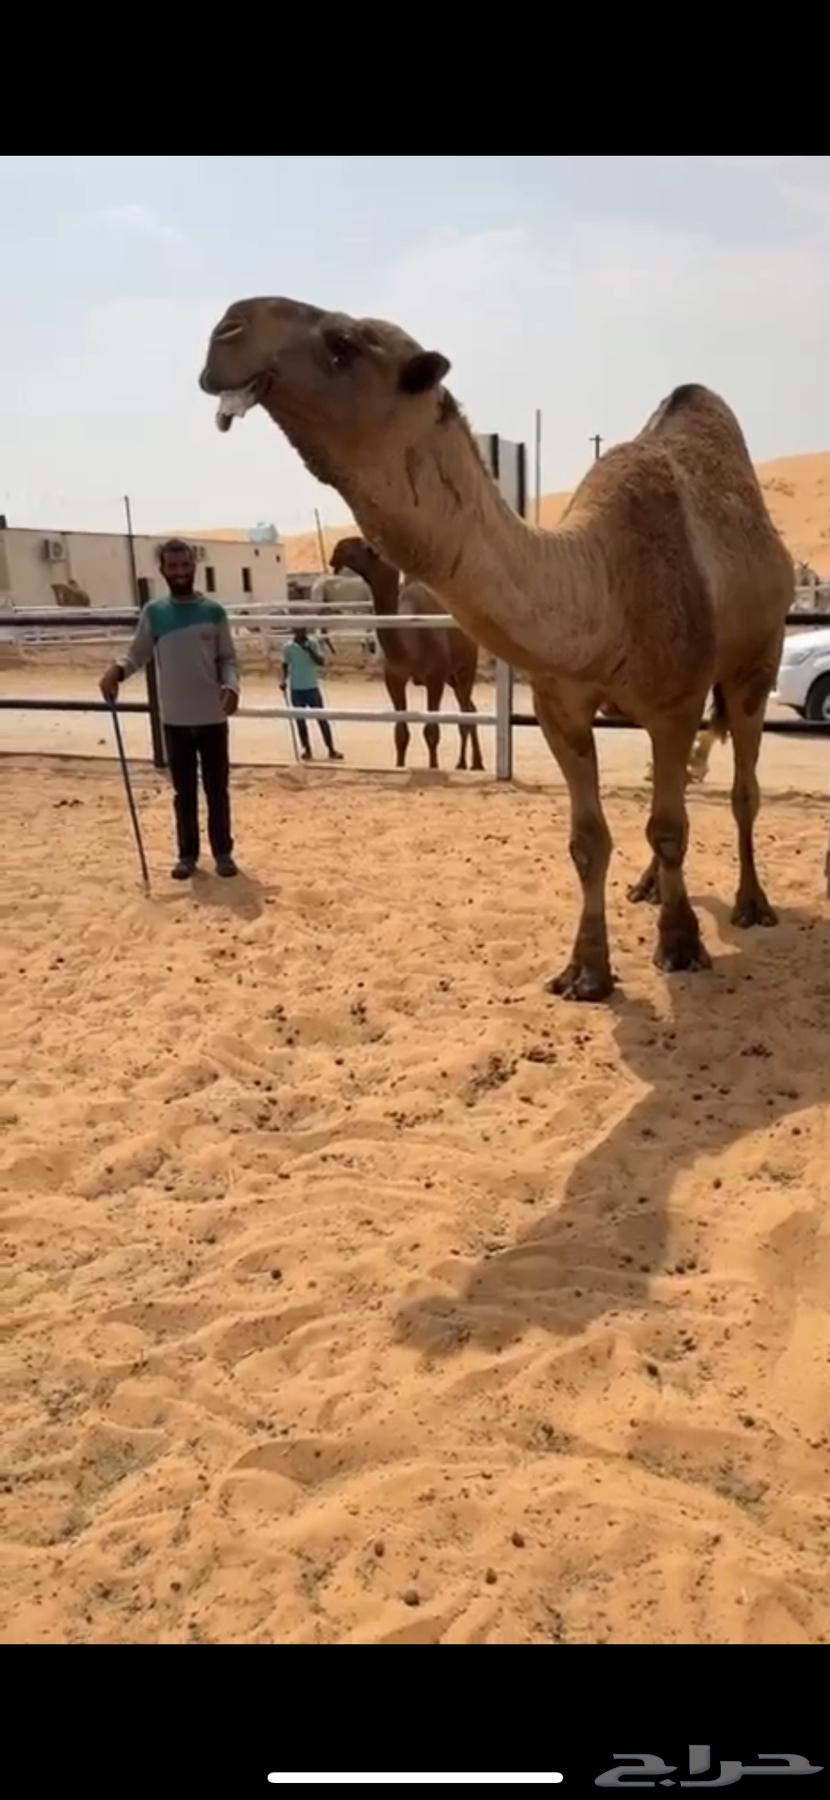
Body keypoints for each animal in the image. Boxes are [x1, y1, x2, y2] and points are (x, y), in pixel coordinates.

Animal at [329, 536, 484, 771]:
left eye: (366, 546)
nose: (337, 549)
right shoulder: (394, 678)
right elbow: (400, 734)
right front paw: (399, 766)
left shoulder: (434, 678)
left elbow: (431, 732)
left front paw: (433, 767)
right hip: (452, 678)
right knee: (470, 709)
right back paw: (471, 763)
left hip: (465, 667)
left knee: (466, 711)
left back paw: (467, 763)